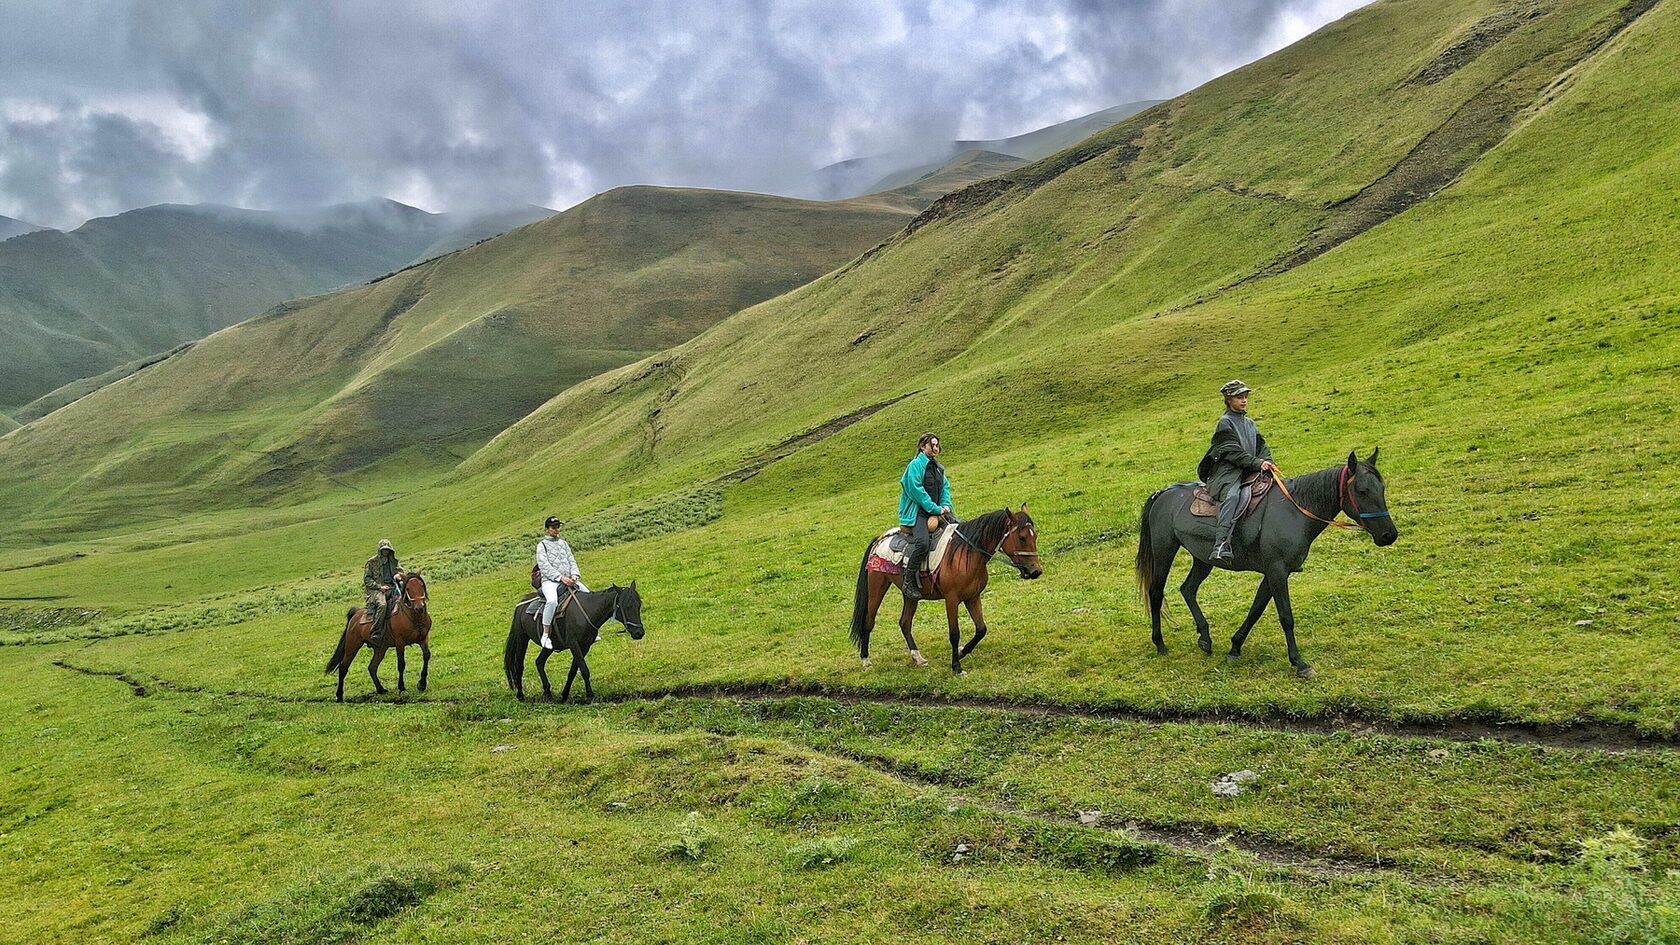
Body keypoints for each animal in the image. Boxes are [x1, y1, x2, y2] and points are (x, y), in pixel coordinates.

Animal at [325, 564, 433, 699]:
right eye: (408, 588)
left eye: (421, 586)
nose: (419, 607)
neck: (414, 617)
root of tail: (356, 614)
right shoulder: (400, 642)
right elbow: (401, 664)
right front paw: (402, 688)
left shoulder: (423, 638)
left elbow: (427, 656)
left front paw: (422, 684)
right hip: (352, 646)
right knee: (343, 667)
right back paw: (339, 696)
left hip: (380, 648)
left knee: (372, 667)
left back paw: (381, 689)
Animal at [500, 581, 645, 699]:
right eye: (627, 606)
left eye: (639, 605)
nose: (639, 633)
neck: (587, 611)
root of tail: (521, 604)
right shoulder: (574, 644)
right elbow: (584, 670)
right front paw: (590, 695)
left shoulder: (585, 646)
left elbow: (573, 671)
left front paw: (565, 695)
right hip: (522, 639)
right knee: (519, 666)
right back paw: (520, 695)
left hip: (550, 646)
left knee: (539, 662)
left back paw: (547, 692)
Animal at [853, 504, 1034, 672]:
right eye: (1022, 537)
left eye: (1035, 535)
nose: (1035, 571)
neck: (967, 554)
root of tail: (879, 539)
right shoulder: (951, 600)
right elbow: (954, 634)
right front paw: (956, 667)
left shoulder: (973, 597)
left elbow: (981, 629)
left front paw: (962, 651)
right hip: (877, 586)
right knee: (869, 621)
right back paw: (865, 659)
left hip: (910, 595)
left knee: (904, 622)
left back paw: (918, 657)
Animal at [1135, 447, 1397, 672]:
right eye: (1362, 491)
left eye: (1381, 488)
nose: (1389, 535)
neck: (1295, 510)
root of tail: (1163, 493)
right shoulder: (1277, 571)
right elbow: (1286, 617)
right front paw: (1299, 662)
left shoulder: (1274, 573)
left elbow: (1256, 610)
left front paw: (1235, 647)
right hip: (1164, 550)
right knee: (1156, 593)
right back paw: (1160, 643)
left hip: (1203, 559)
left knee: (1188, 589)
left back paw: (1205, 638)